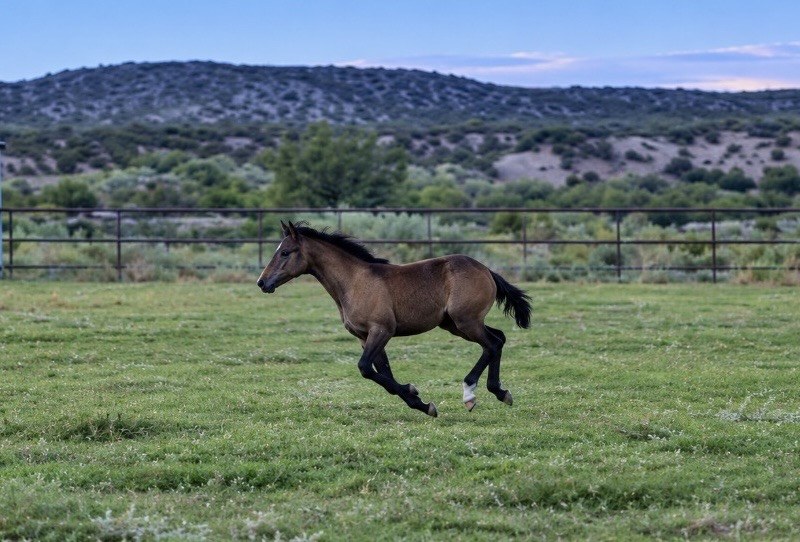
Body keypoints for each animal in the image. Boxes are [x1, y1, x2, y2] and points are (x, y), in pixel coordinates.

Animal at [257, 221, 531, 417]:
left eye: (285, 252)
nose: (262, 282)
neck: (355, 281)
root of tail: (486, 269)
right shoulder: (365, 336)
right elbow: (383, 373)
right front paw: (418, 401)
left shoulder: (381, 330)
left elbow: (365, 368)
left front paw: (418, 397)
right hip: (456, 324)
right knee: (498, 339)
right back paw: (498, 392)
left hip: (466, 321)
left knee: (492, 344)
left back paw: (470, 394)